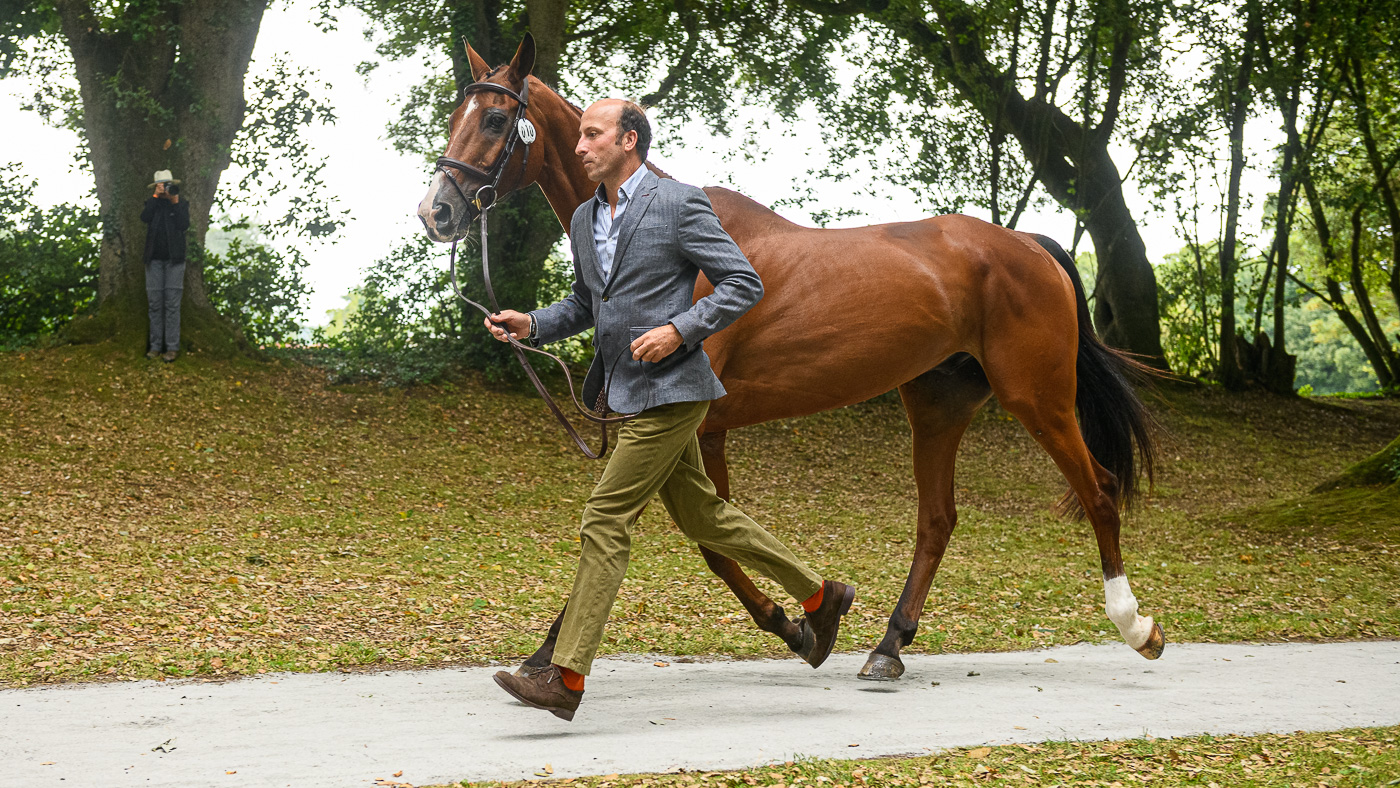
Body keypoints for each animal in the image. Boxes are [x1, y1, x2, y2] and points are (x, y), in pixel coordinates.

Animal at [416, 34, 1165, 681]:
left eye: (493, 119)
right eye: (457, 114)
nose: (436, 211)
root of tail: (1030, 246)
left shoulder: (686, 427)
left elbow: (705, 541)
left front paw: (799, 626)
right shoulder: (687, 433)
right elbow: (684, 534)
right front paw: (546, 657)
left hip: (1037, 397)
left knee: (1099, 491)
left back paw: (1137, 627)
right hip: (938, 405)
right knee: (938, 520)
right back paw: (889, 647)